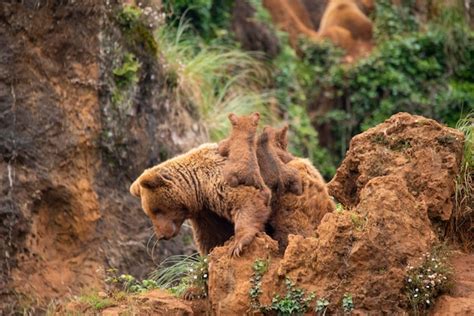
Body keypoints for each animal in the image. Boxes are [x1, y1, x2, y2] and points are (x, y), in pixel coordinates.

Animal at [130, 143, 270, 256]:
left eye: (156, 210)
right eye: (149, 214)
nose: (161, 235)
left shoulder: (221, 179)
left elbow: (246, 199)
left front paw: (238, 244)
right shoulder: (206, 214)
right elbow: (212, 238)